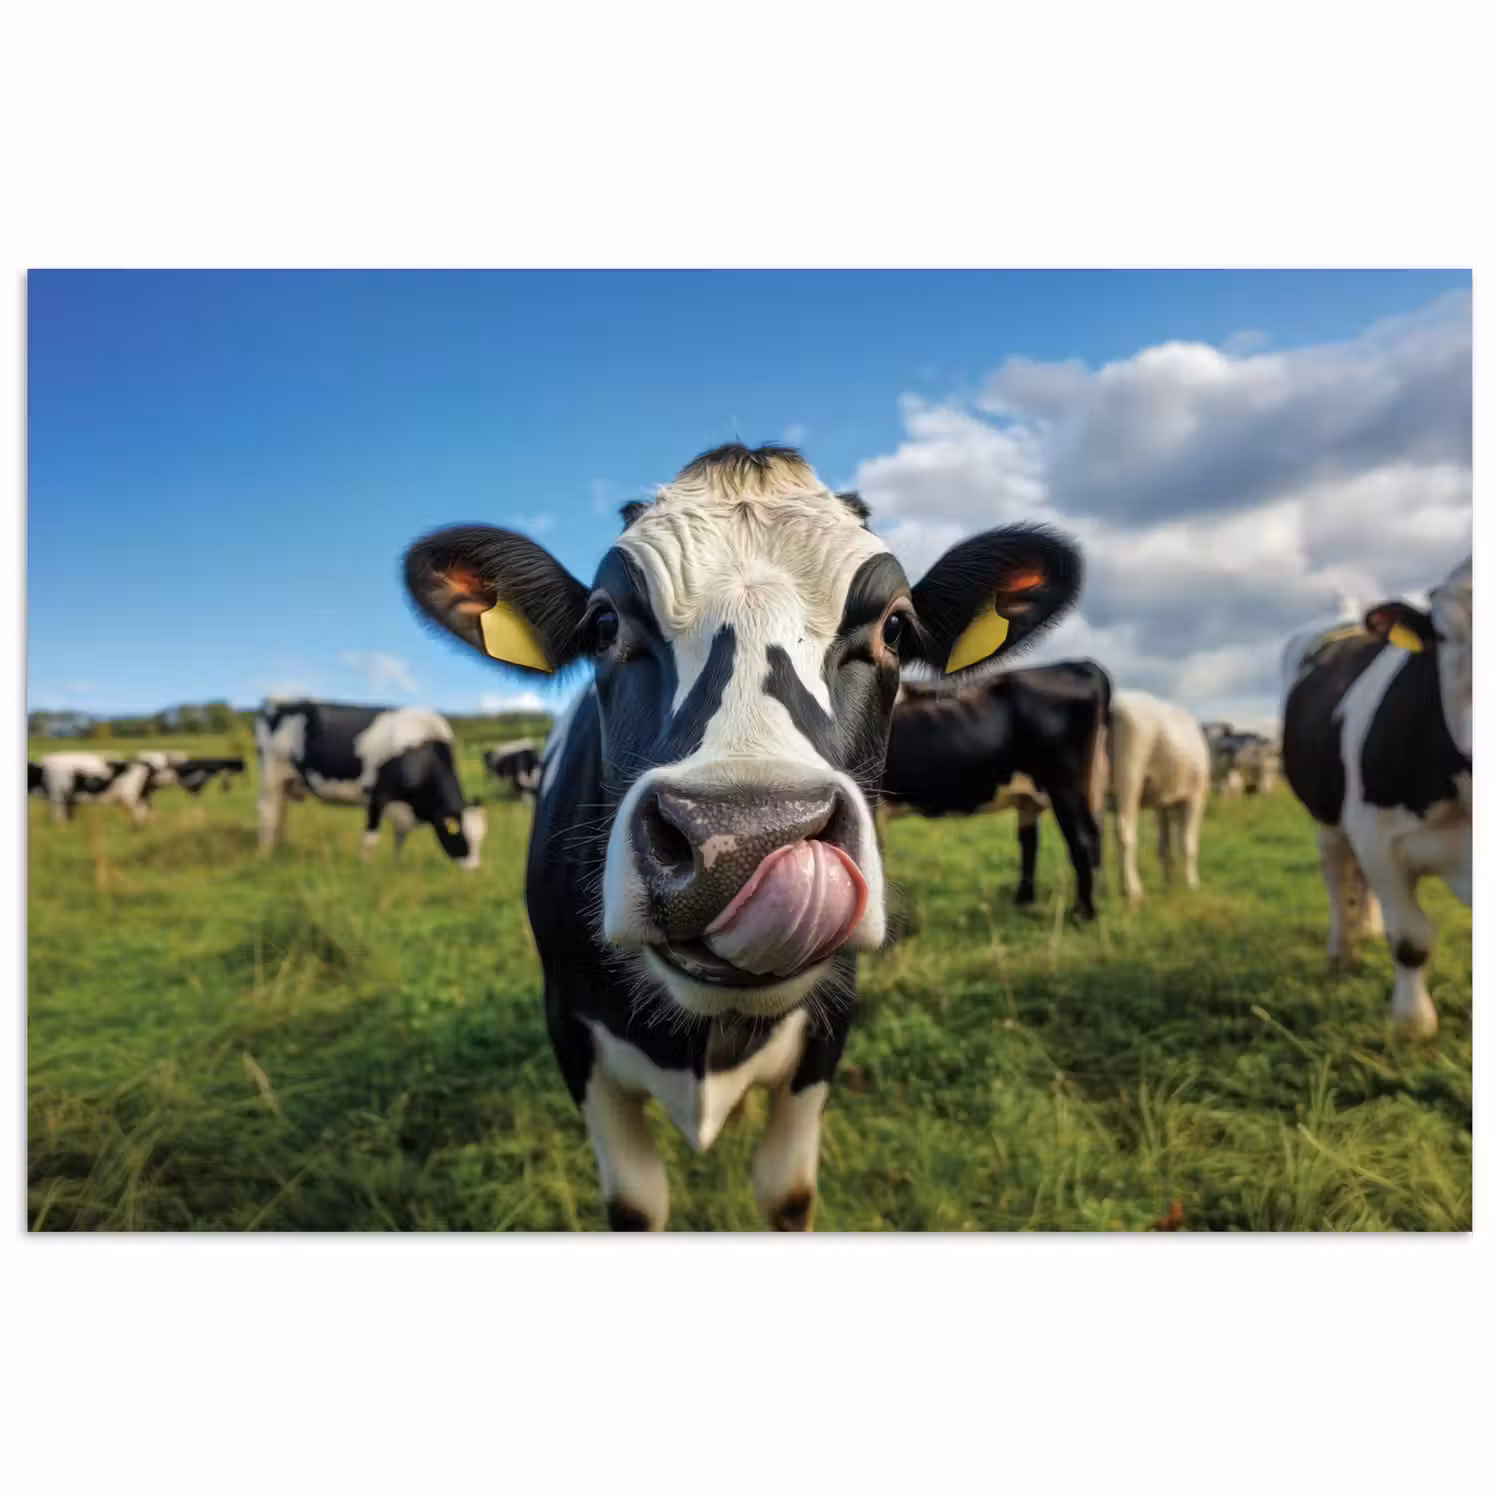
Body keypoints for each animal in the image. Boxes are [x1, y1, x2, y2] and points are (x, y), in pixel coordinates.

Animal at [254, 700, 487, 869]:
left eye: (481, 838)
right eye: (459, 835)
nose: (473, 870)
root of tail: (275, 706)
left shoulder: (404, 808)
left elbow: (400, 839)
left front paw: (395, 867)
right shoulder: (377, 796)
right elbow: (370, 839)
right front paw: (365, 868)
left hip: (286, 782)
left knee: (280, 814)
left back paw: (279, 849)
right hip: (271, 776)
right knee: (268, 814)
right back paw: (264, 854)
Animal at [403, 442, 1083, 1230]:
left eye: (895, 628)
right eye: (604, 624)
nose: (742, 840)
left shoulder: (829, 1029)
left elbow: (786, 1192)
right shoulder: (571, 1031)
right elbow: (635, 1203)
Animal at [879, 660, 1111, 918]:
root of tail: (1080, 664)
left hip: (1064, 785)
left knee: (1082, 840)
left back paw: (1083, 913)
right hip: (1061, 789)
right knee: (1049, 839)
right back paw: (1028, 901)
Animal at [1108, 689, 1212, 906]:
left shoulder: (1162, 803)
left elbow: (1164, 847)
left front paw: (1169, 883)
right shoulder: (1196, 796)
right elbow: (1188, 842)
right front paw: (1192, 884)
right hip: (1129, 771)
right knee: (1124, 829)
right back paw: (1133, 891)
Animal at [1280, 558, 1471, 1039]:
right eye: (1445, 635)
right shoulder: (1380, 839)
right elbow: (1410, 940)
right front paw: (1413, 1025)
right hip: (1327, 816)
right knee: (1336, 878)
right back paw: (1342, 950)